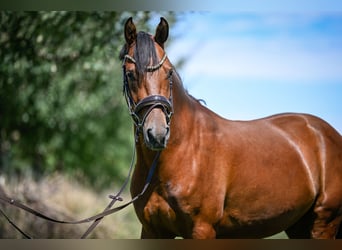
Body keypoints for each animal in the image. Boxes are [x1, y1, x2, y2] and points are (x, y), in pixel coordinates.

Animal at [119, 16, 342, 239]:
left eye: (169, 72)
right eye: (130, 75)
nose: (157, 134)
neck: (183, 152)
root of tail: (328, 133)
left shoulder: (202, 229)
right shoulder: (152, 230)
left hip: (323, 222)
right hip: (299, 226)